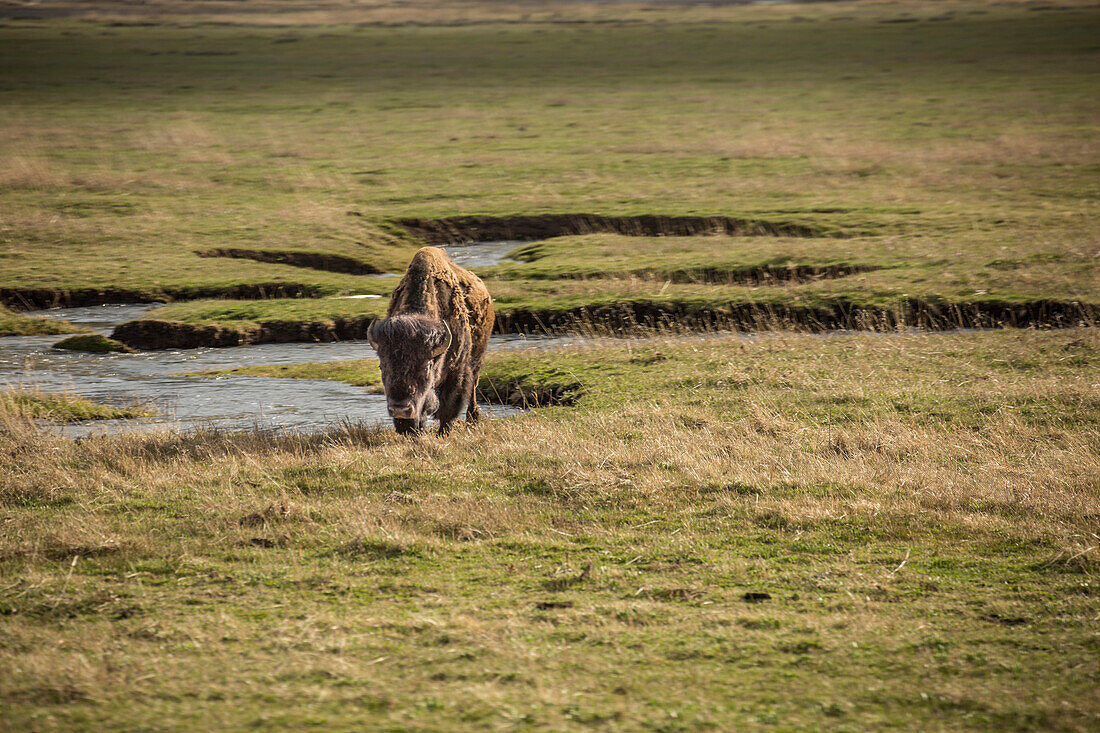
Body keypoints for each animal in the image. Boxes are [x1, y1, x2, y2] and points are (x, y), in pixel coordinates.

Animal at [367, 245, 492, 431]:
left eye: (426, 367)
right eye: (382, 366)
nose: (400, 409)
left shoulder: (456, 373)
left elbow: (448, 409)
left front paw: (443, 432)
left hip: (477, 361)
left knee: (473, 390)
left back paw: (473, 418)